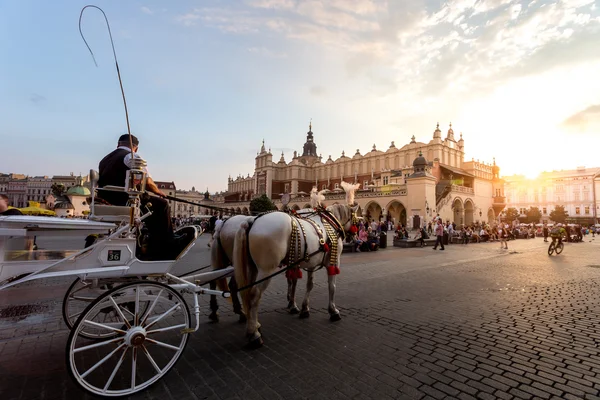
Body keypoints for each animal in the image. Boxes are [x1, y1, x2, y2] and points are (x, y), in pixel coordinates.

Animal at [233, 184, 356, 346]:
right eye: (357, 218)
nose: (354, 235)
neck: (330, 223)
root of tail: (251, 221)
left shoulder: (312, 263)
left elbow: (309, 285)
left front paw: (304, 308)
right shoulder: (334, 261)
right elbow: (332, 286)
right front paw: (333, 311)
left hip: (251, 267)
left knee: (247, 294)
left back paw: (255, 326)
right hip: (266, 270)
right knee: (254, 295)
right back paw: (254, 335)